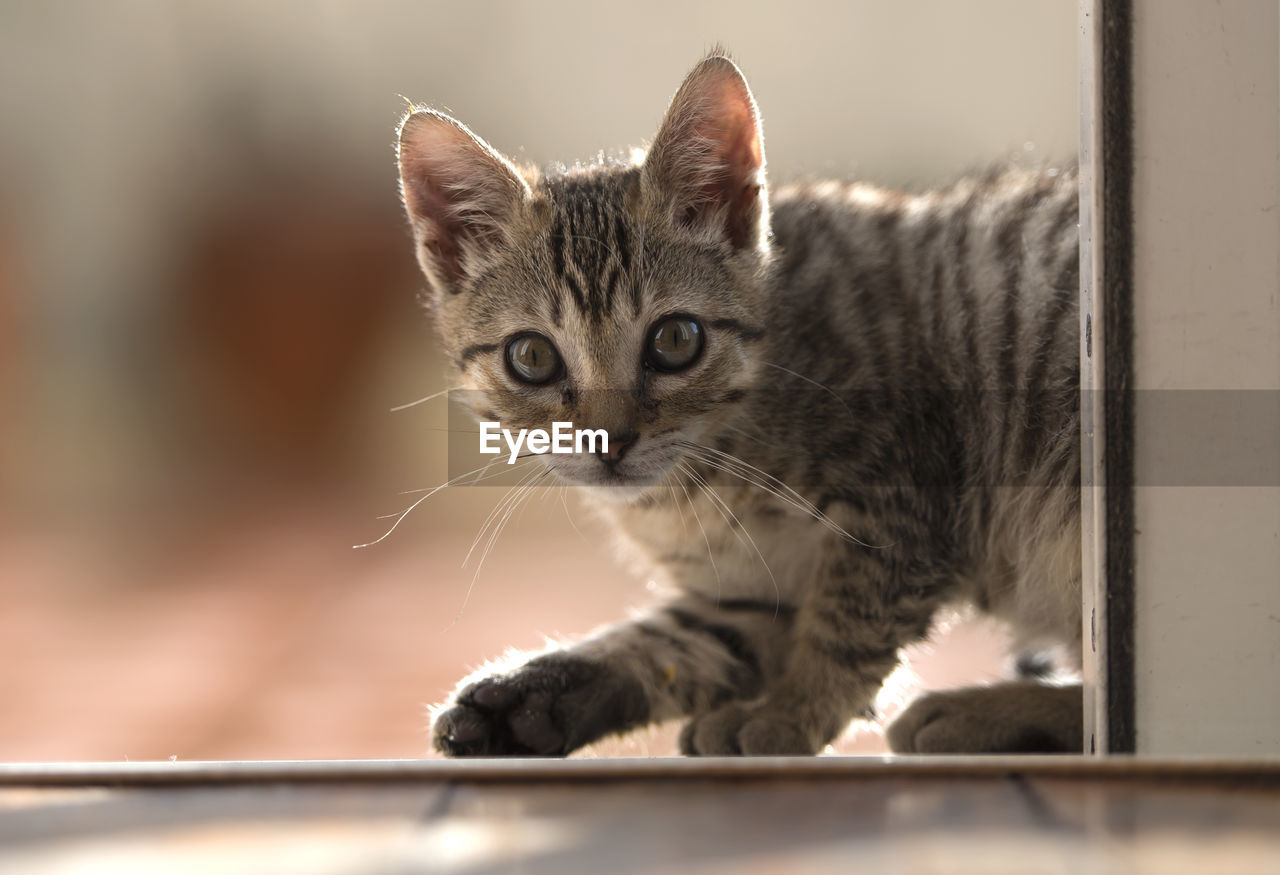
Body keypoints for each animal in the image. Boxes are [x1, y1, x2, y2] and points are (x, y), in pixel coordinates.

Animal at [396, 53, 1080, 757]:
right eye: (531, 356)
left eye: (675, 340)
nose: (609, 441)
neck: (699, 484)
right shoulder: (754, 596)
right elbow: (675, 644)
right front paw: (529, 702)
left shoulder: (905, 497)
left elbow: (848, 623)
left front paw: (788, 713)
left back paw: (977, 713)